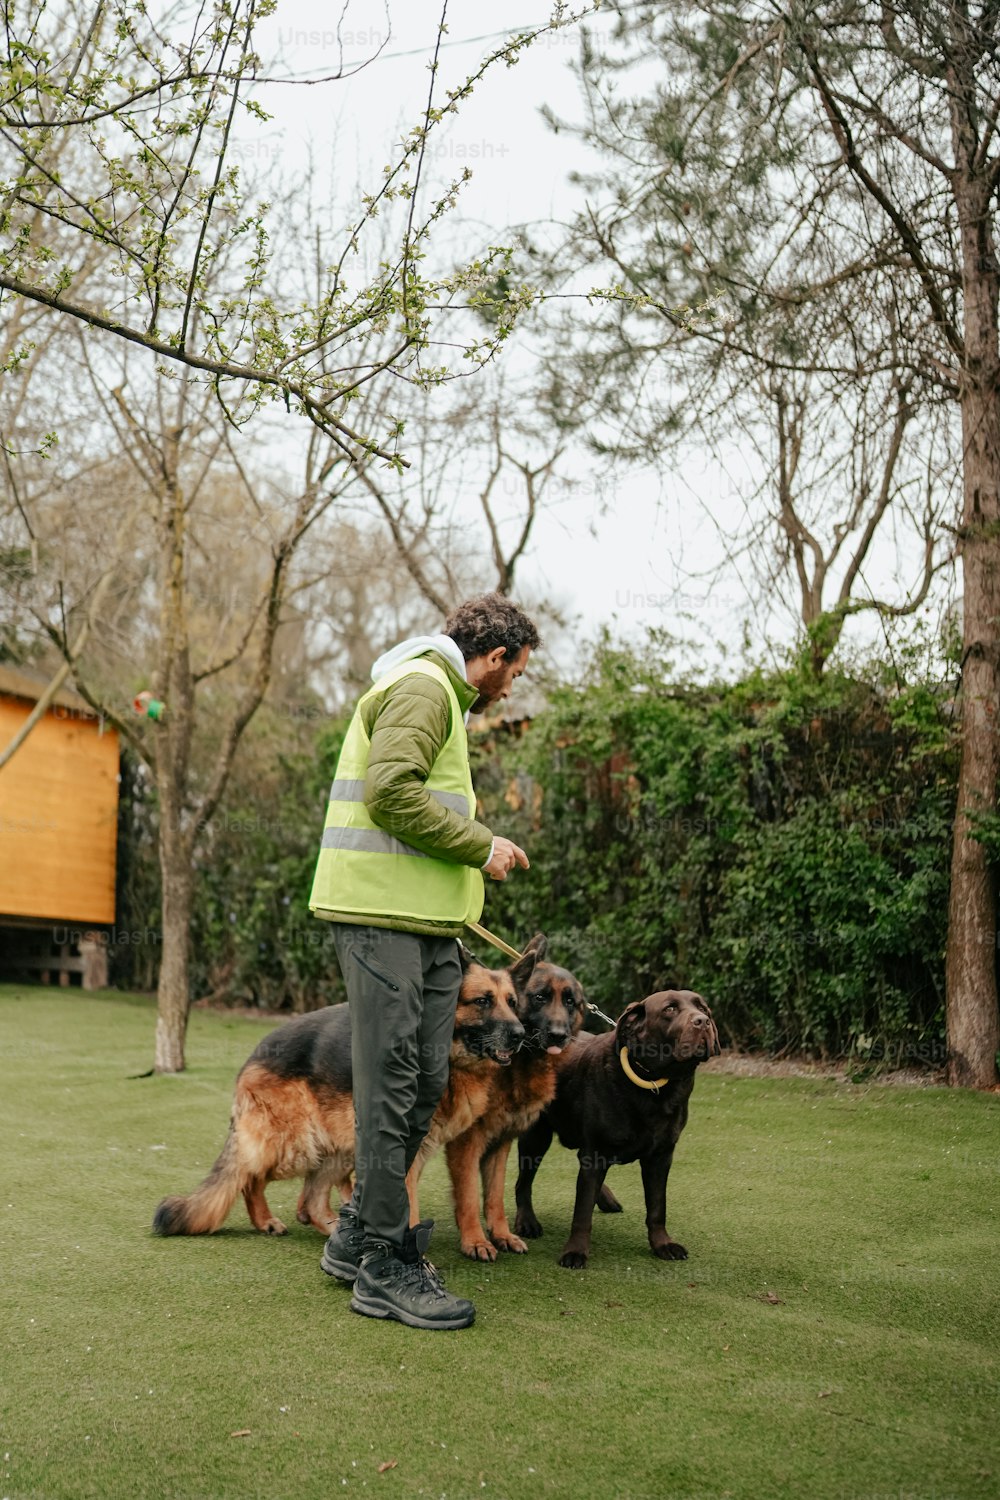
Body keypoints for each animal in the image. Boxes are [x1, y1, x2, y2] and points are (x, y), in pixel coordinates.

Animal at [515, 990, 719, 1272]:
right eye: (669, 1009)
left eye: (703, 1008)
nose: (703, 1022)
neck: (652, 1083)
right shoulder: (595, 1153)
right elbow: (582, 1210)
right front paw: (575, 1251)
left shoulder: (660, 1156)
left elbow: (658, 1207)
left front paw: (662, 1244)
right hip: (536, 1136)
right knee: (523, 1182)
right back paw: (527, 1222)